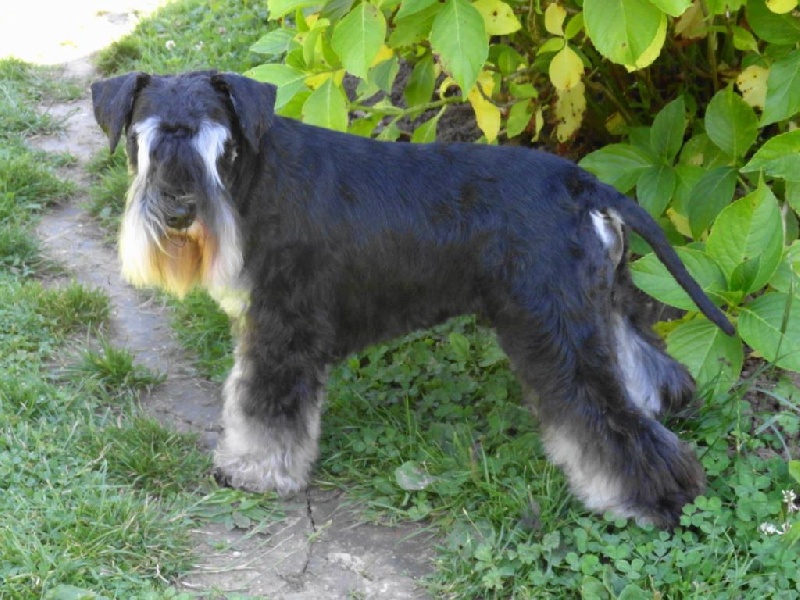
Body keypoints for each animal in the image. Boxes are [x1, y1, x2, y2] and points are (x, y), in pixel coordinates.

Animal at [91, 70, 734, 529]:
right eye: (142, 140)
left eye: (216, 144)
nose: (179, 213)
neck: (252, 176)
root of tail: (586, 186)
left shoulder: (282, 328)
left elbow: (263, 407)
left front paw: (255, 471)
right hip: (600, 305)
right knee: (645, 369)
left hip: (555, 332)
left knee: (608, 421)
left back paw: (661, 501)